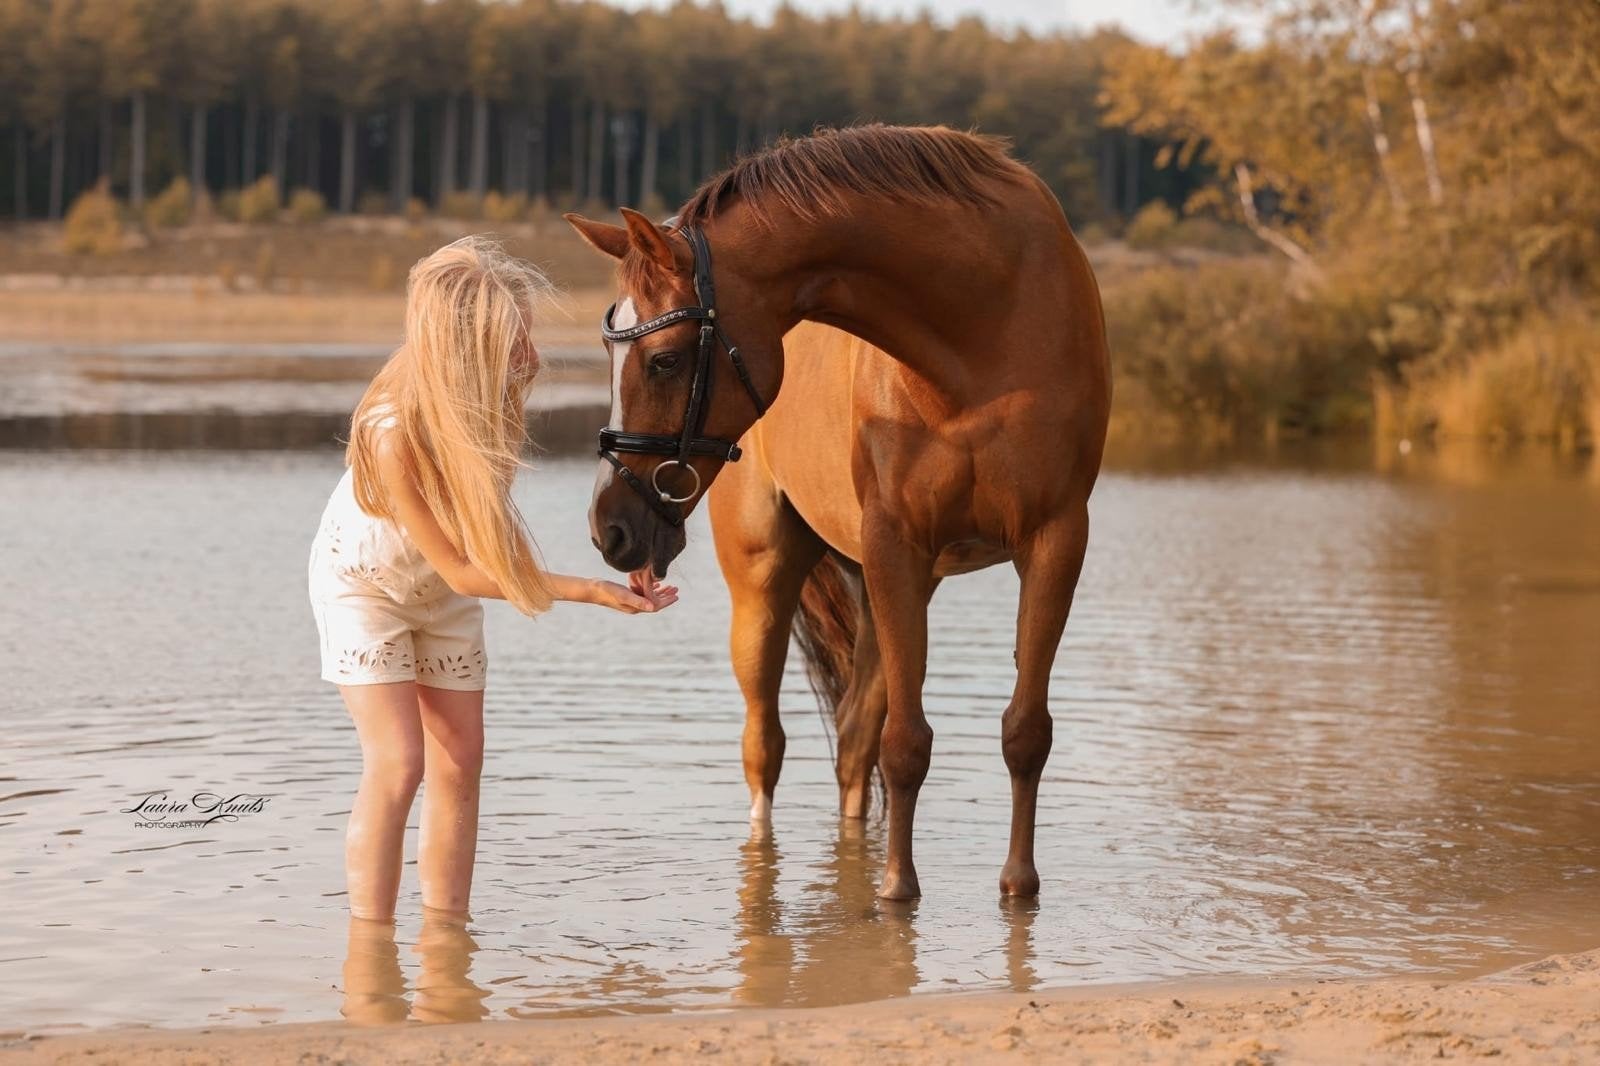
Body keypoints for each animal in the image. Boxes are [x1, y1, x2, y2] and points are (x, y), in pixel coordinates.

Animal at [566, 124, 1110, 900]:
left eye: (664, 360)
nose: (608, 526)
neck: (983, 325)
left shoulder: (1055, 539)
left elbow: (1024, 731)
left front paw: (1018, 886)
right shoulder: (894, 544)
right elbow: (905, 742)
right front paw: (896, 892)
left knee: (854, 740)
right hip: (769, 581)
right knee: (767, 746)